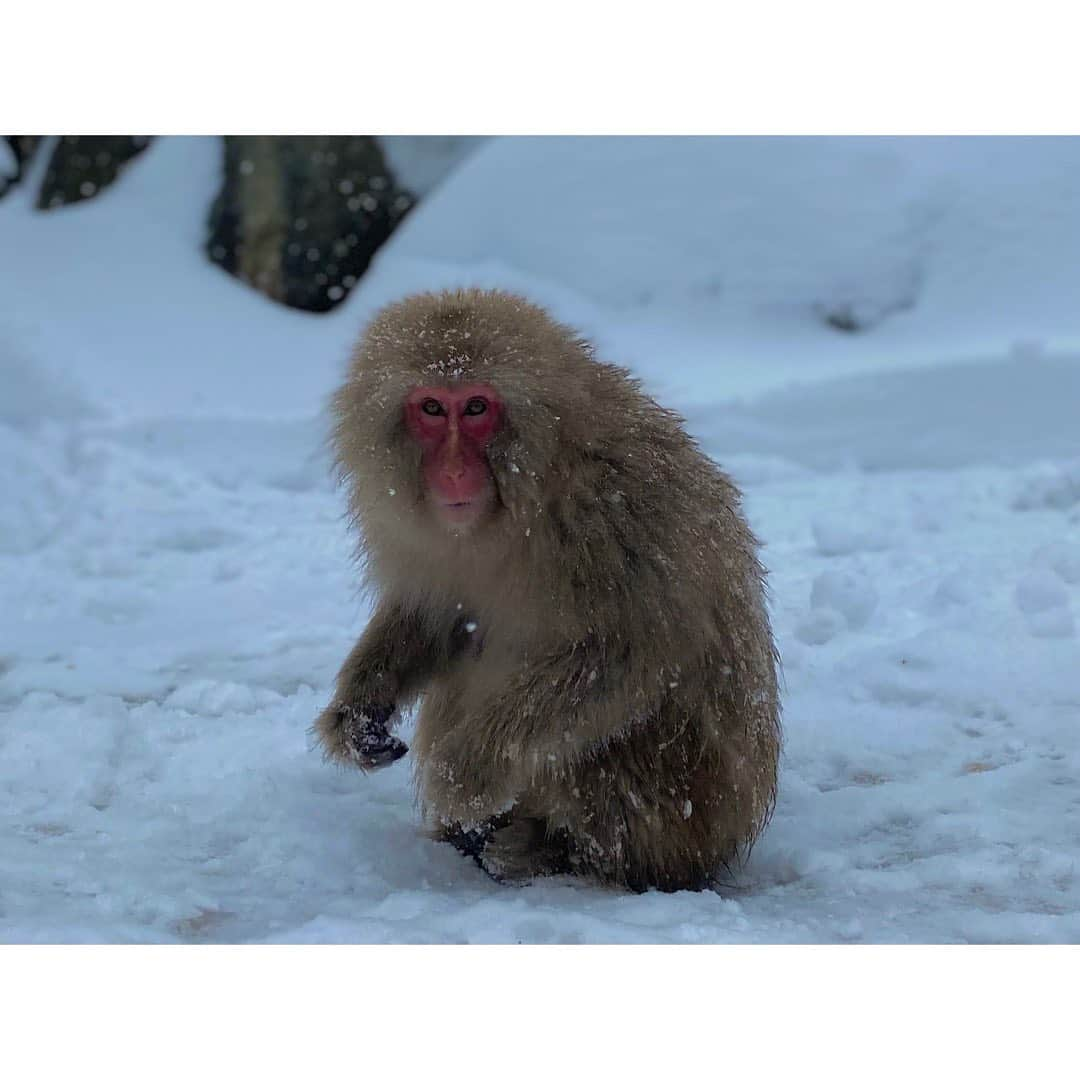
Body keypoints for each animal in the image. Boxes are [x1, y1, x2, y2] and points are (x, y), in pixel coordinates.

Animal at [315, 289, 781, 894]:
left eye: (477, 408)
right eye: (432, 409)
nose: (454, 471)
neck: (532, 483)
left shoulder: (615, 507)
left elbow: (632, 649)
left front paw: (464, 773)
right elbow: (433, 617)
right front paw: (359, 713)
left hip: (685, 803)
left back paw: (555, 852)